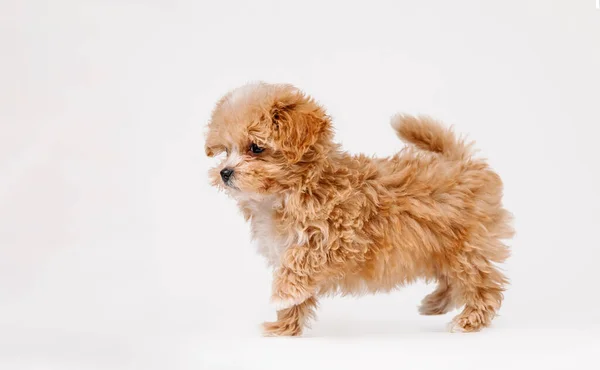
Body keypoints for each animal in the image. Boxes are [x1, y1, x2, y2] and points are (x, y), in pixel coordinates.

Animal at [204, 83, 512, 336]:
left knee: (483, 284)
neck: (287, 193)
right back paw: (435, 304)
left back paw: (469, 320)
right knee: (452, 280)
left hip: (465, 247)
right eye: (225, 150)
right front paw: (284, 326)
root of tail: (462, 162)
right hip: (439, 248)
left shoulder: (339, 237)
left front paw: (283, 293)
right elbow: (299, 290)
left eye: (256, 148)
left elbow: (299, 262)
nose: (224, 172)